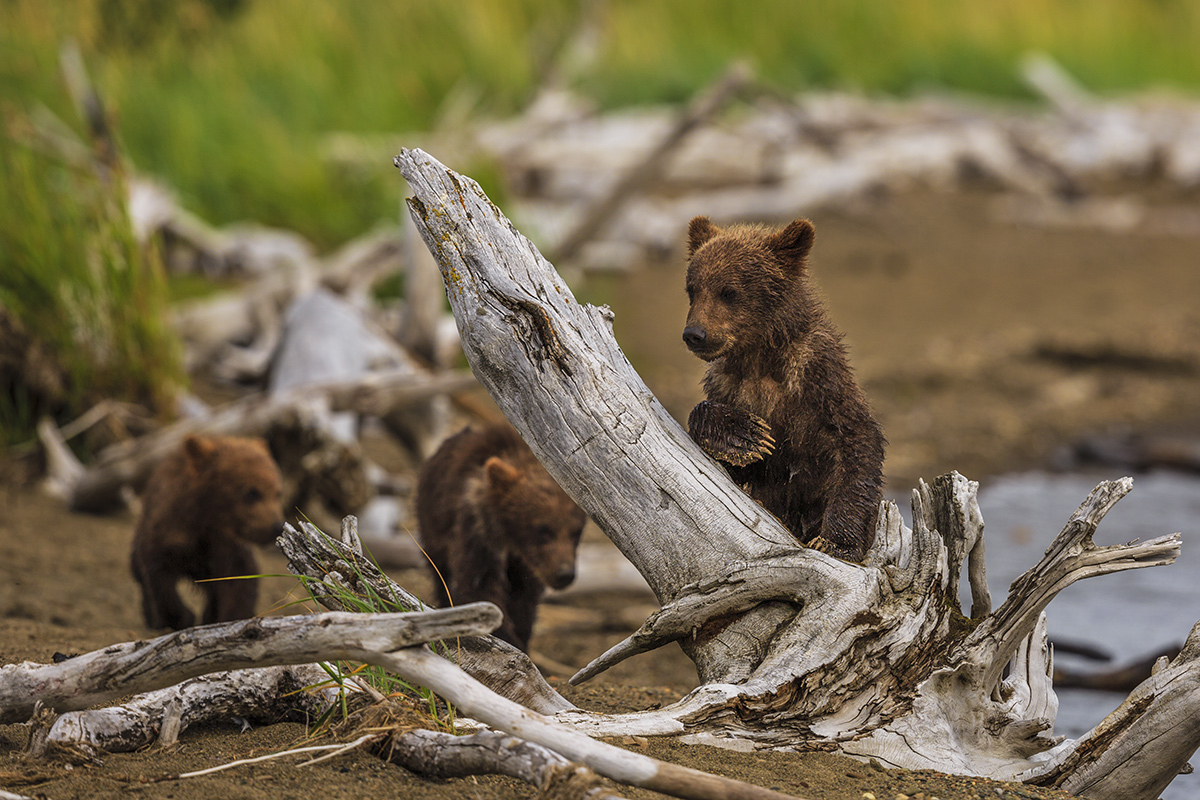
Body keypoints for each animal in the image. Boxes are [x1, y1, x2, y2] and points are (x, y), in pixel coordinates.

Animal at [130, 434, 286, 630]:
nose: (276, 525)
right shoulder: (168, 533)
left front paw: (230, 617)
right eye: (252, 492)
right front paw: (183, 617)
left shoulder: (226, 547)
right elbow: (159, 575)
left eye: (277, 492)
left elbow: (239, 579)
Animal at [415, 423, 587, 652]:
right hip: (432, 530)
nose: (565, 573)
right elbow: (478, 586)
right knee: (440, 574)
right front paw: (505, 637)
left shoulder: (526, 565)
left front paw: (520, 636)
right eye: (542, 529)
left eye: (576, 532)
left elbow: (524, 599)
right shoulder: (478, 529)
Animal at [682, 215, 886, 562]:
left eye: (728, 291)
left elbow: (856, 440)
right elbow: (729, 455)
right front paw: (747, 436)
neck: (760, 358)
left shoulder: (818, 378)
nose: (695, 333)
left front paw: (836, 541)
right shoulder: (728, 384)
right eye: (692, 289)